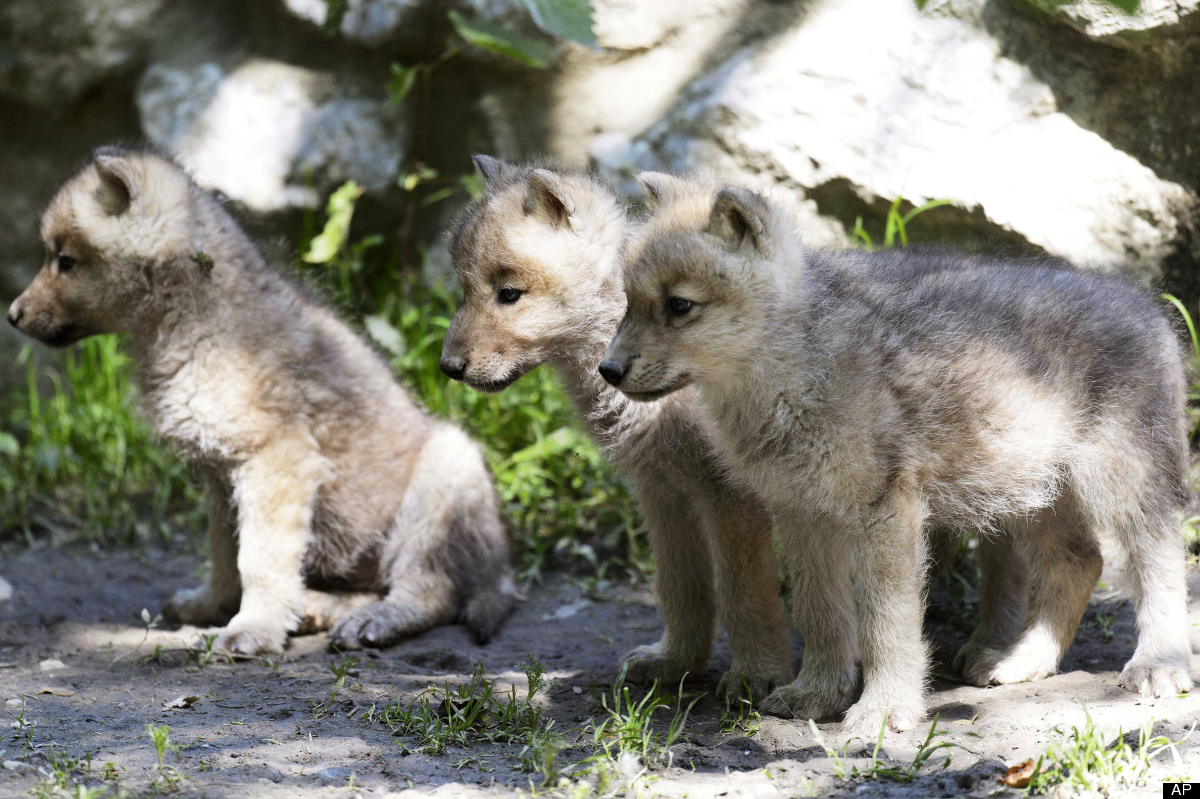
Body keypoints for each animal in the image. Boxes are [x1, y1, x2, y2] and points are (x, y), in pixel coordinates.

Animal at [7, 147, 517, 655]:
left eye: (65, 260)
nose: (12, 316)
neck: (194, 323)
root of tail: (500, 572)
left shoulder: (275, 462)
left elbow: (259, 559)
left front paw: (251, 628)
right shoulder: (220, 476)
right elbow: (223, 556)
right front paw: (212, 607)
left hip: (442, 481)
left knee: (432, 590)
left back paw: (376, 620)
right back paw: (316, 609)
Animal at [439, 156, 793, 704]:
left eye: (509, 294)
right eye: (462, 289)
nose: (448, 367)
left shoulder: (728, 496)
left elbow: (742, 593)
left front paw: (757, 676)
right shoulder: (663, 492)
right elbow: (681, 589)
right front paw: (676, 664)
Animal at [602, 173, 1193, 734]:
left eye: (679, 306)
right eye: (628, 302)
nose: (607, 370)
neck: (796, 366)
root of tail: (1145, 305)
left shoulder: (883, 511)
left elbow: (886, 625)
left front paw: (884, 711)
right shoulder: (802, 511)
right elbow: (820, 613)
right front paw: (818, 694)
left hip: (1119, 482)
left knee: (1161, 561)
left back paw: (1160, 664)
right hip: (1024, 489)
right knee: (1079, 561)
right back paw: (1021, 661)